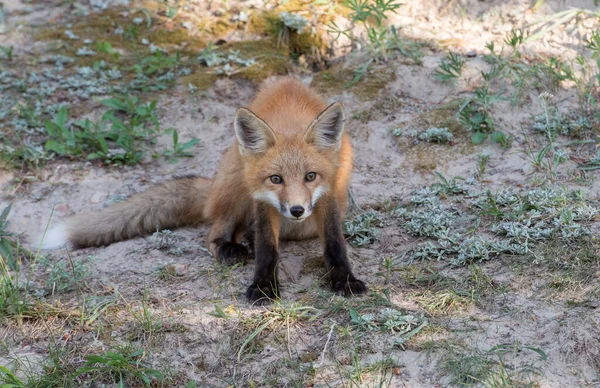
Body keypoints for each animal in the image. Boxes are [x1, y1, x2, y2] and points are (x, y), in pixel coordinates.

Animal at [39, 77, 368, 304]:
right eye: (276, 179)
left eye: (311, 176)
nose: (297, 210)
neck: (290, 119)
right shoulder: (262, 199)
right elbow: (267, 249)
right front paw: (263, 286)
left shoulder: (328, 195)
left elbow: (335, 245)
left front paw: (344, 279)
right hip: (235, 180)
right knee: (216, 232)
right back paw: (230, 246)